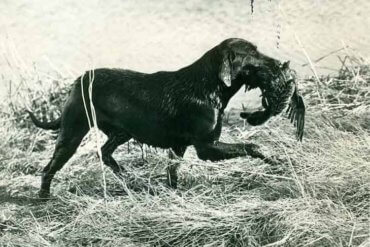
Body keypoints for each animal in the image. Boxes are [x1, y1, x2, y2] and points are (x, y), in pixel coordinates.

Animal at [28, 37, 306, 198]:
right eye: (253, 53)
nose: (280, 64)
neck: (209, 87)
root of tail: (80, 78)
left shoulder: (178, 146)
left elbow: (173, 172)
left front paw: (174, 194)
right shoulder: (207, 147)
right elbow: (252, 145)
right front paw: (276, 159)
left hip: (121, 132)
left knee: (105, 153)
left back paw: (126, 177)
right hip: (73, 132)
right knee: (49, 168)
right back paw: (44, 197)